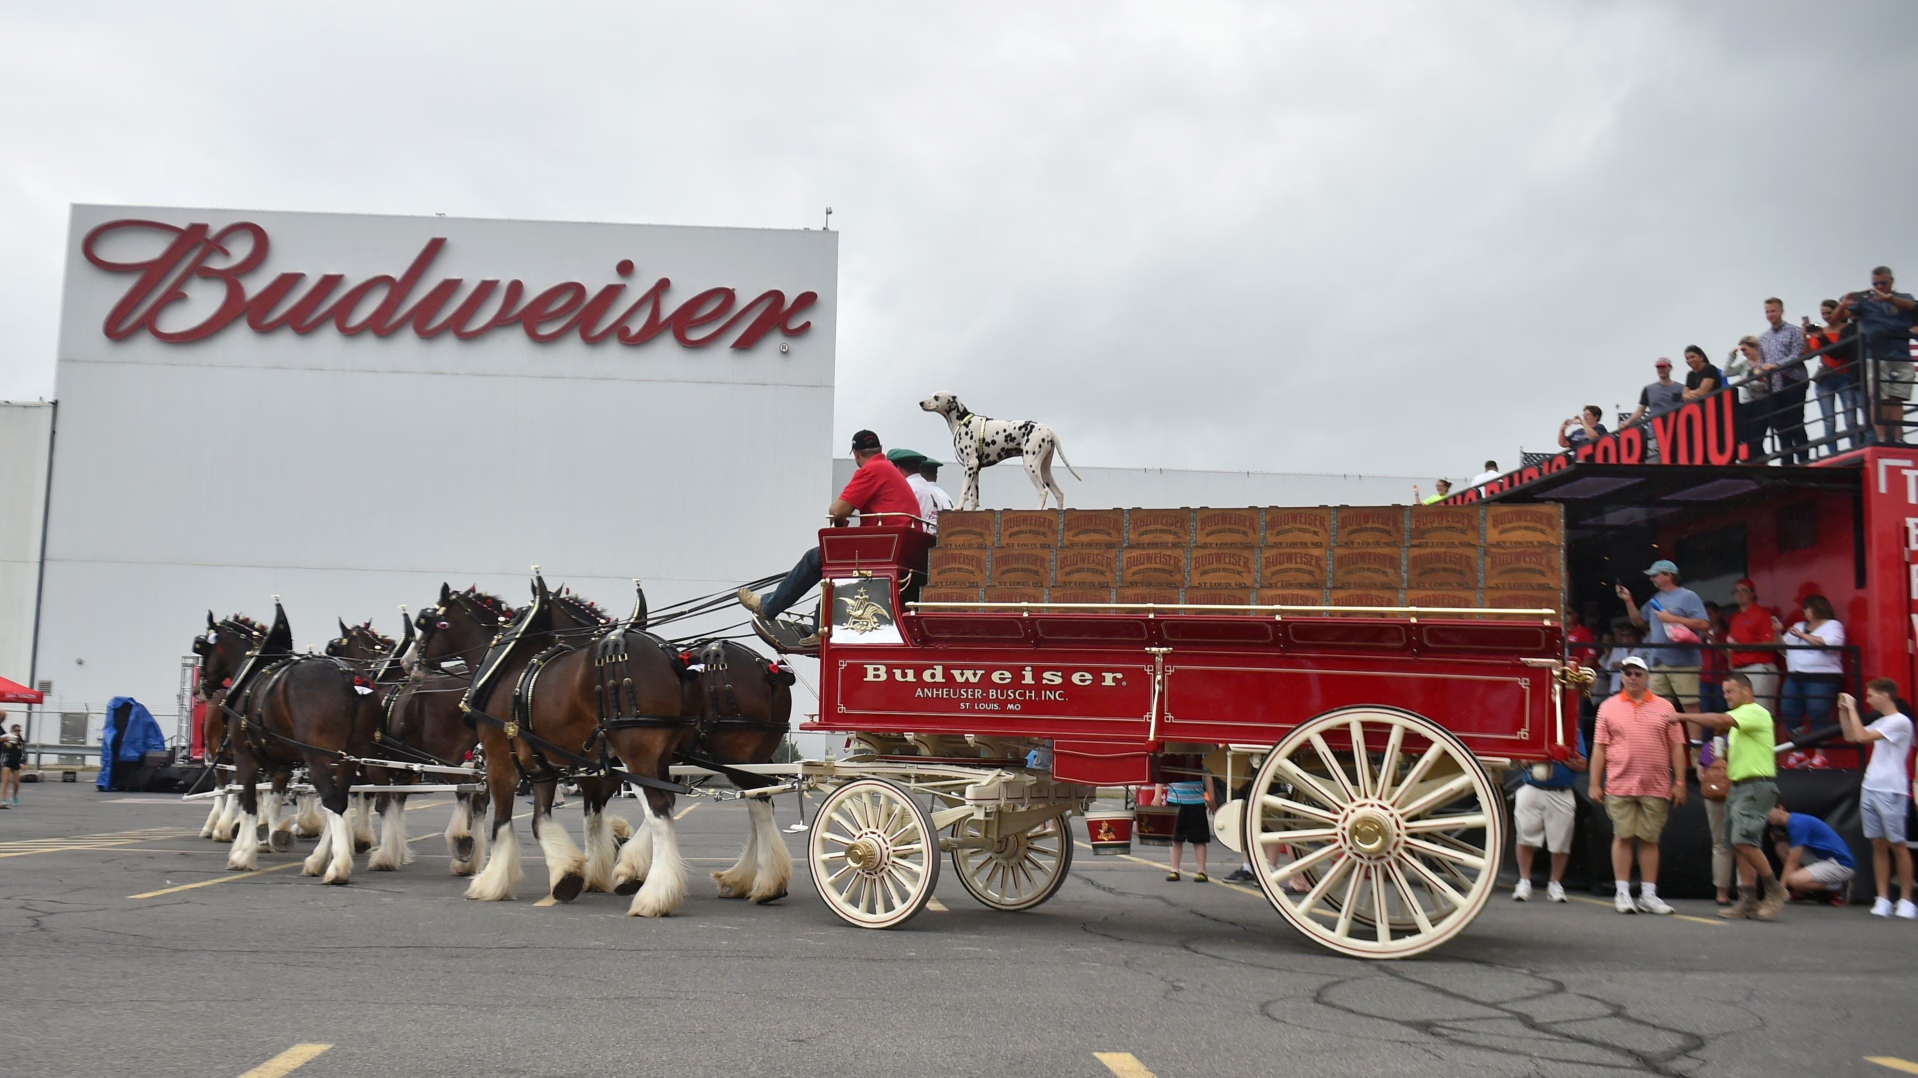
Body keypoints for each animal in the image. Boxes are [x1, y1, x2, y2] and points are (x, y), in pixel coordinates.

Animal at [916, 389, 1081, 506]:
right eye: (931, 395)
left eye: (937, 397)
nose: (921, 402)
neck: (963, 421)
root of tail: (1048, 430)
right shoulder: (975, 469)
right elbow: (974, 499)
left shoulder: (970, 465)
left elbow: (963, 492)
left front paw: (958, 508)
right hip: (1044, 471)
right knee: (1059, 494)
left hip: (1031, 466)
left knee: (1043, 492)